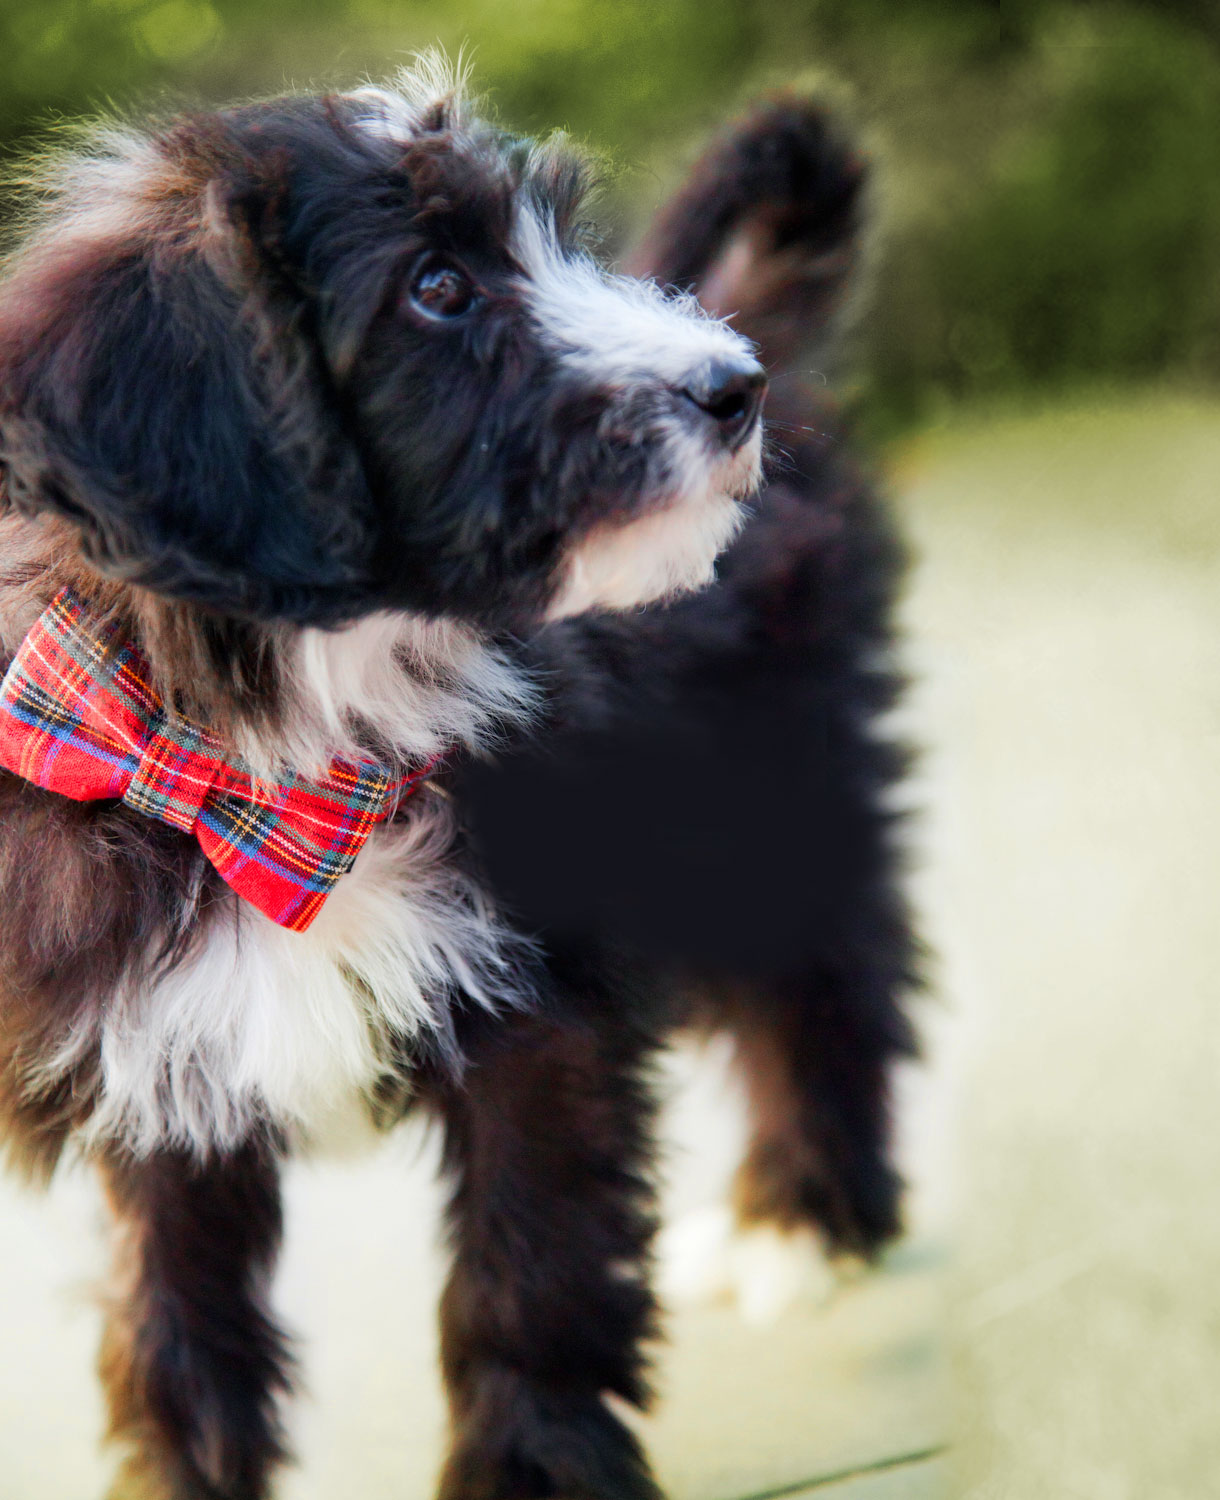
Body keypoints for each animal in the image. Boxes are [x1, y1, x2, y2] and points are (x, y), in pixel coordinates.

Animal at [0, 55, 912, 1500]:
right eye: (439, 288)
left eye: (556, 241)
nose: (733, 387)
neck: (275, 759)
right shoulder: (154, 1066)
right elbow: (173, 1330)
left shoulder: (544, 1017)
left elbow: (526, 1279)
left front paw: (529, 1472)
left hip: (771, 782)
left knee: (826, 986)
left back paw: (801, 1218)